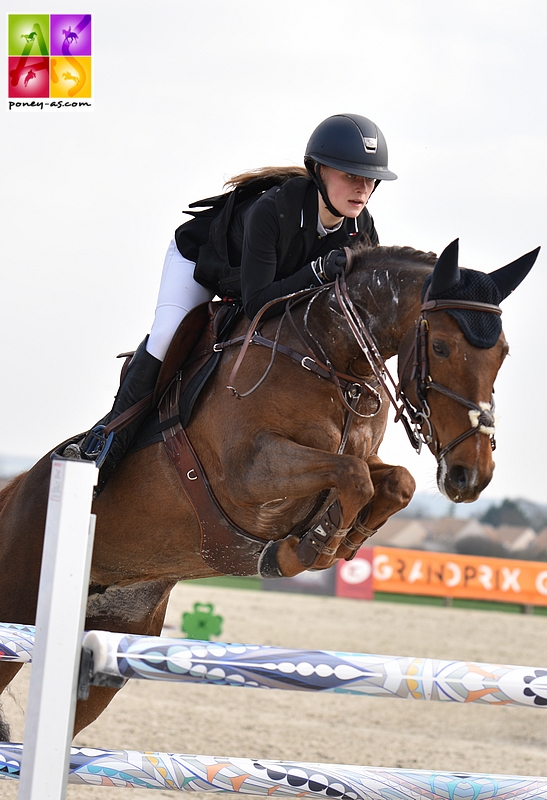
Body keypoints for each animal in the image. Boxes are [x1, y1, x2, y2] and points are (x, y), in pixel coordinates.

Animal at [0, 241, 540, 740]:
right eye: (443, 347)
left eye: (502, 354)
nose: (471, 475)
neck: (331, 361)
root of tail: (15, 491)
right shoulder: (248, 472)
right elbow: (353, 475)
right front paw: (310, 547)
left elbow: (393, 481)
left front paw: (344, 540)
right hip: (19, 608)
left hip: (117, 636)